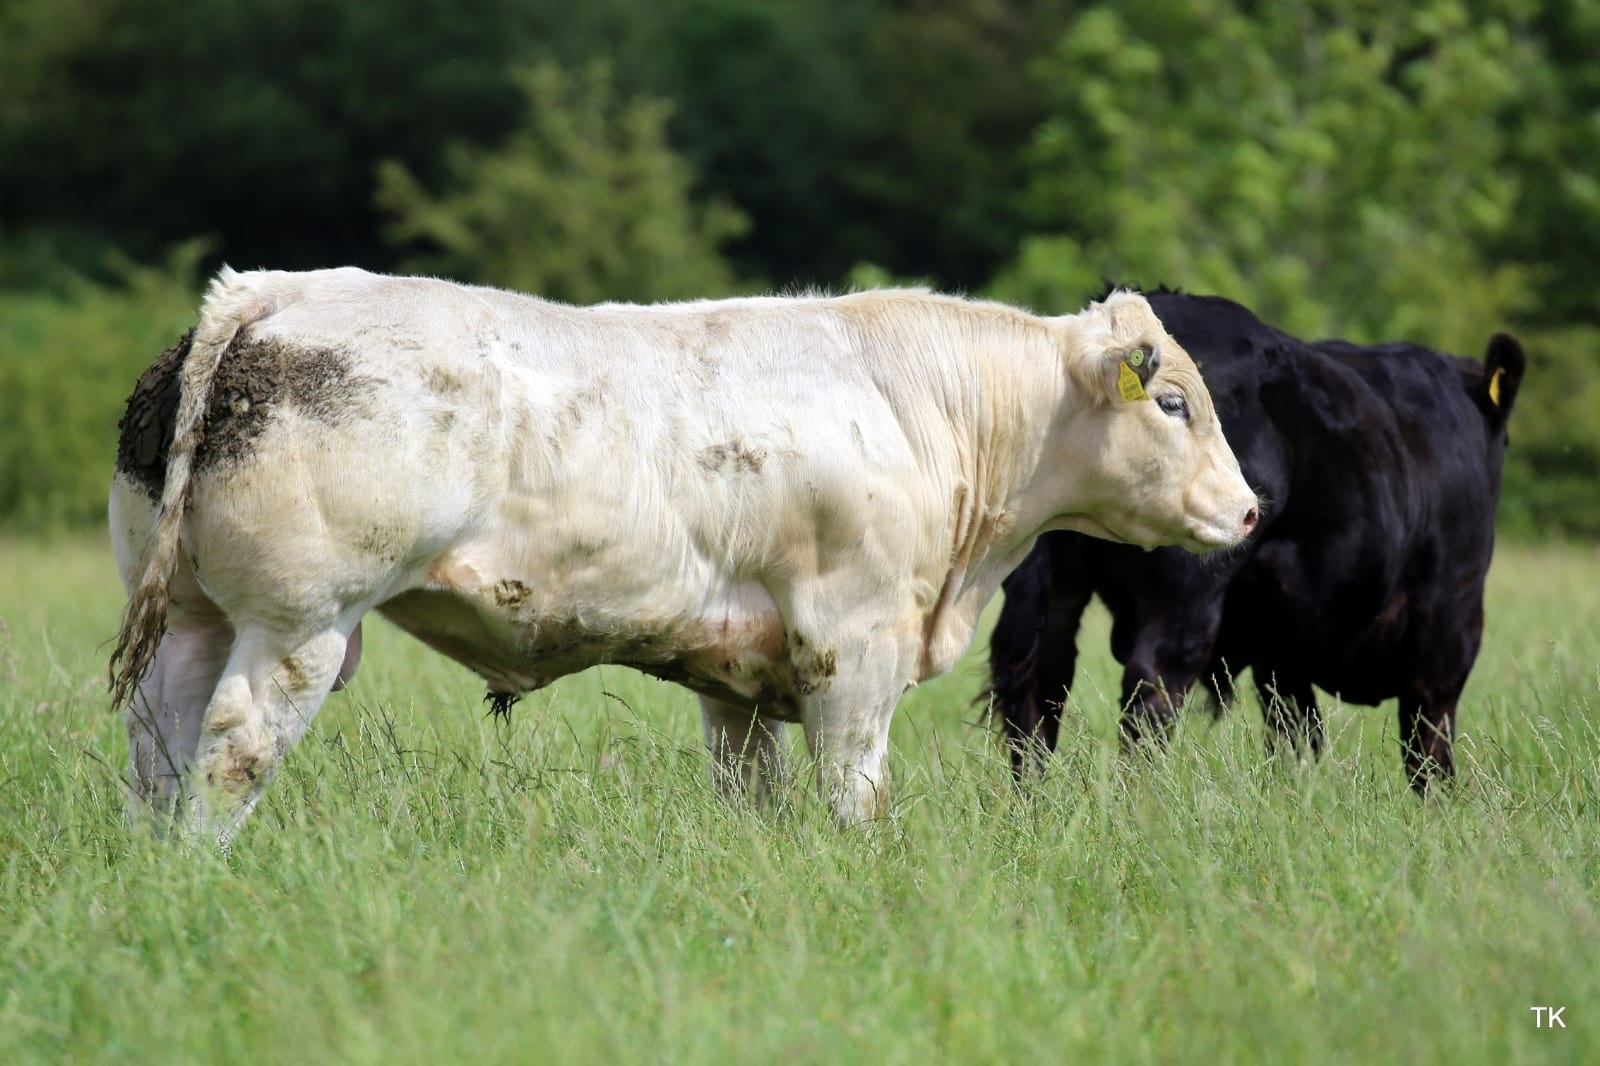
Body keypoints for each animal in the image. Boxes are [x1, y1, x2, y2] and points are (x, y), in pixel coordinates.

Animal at [108, 267, 1258, 839]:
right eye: (1171, 401)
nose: (1251, 511)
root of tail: (269, 290)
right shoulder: (855, 642)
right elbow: (855, 792)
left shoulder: (739, 668)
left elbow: (754, 791)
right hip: (297, 623)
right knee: (231, 750)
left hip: (197, 618)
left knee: (160, 741)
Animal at [986, 289, 1525, 793]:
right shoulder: (1449, 619)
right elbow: (1428, 751)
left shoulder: (1281, 653)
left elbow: (1296, 737)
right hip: (1185, 593)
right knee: (1150, 692)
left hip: (1053, 585)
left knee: (1037, 690)